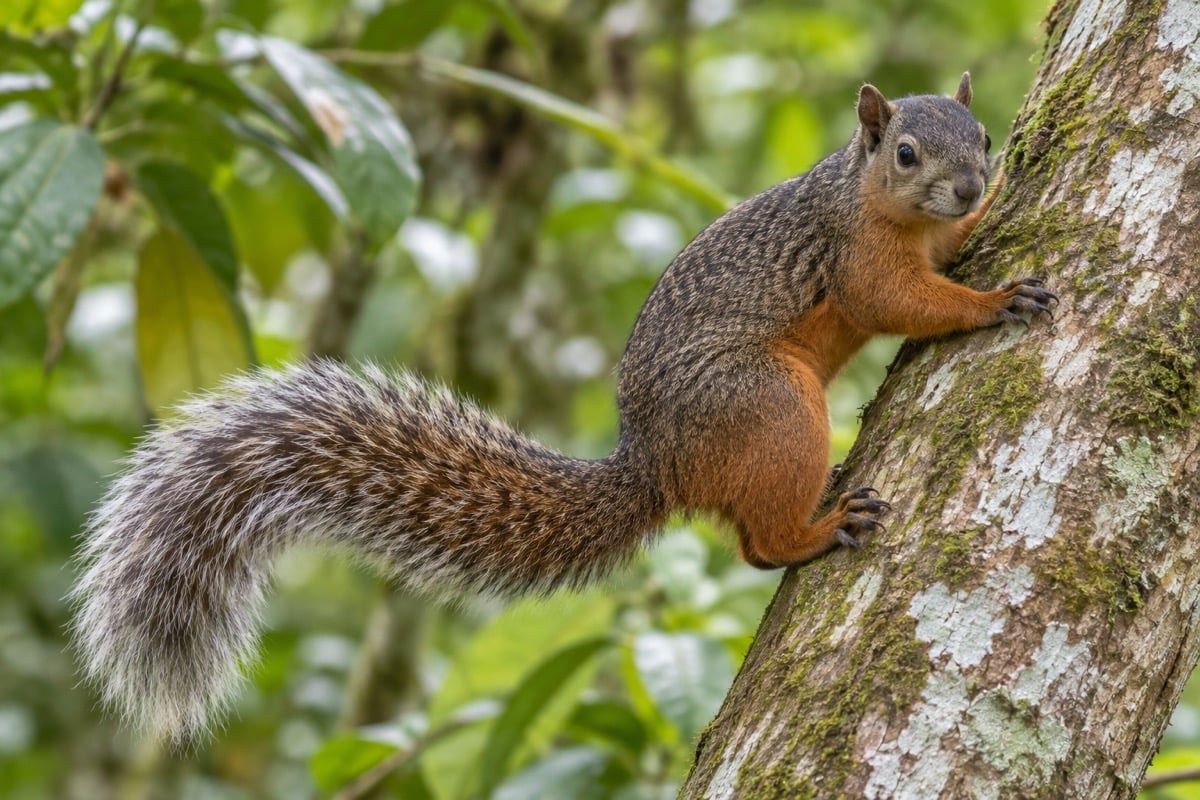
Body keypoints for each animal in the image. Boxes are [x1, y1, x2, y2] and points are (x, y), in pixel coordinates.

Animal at [71, 72, 1055, 741]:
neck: (871, 197)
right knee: (756, 543)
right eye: (906, 153)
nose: (971, 184)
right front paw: (992, 300)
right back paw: (817, 526)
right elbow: (902, 301)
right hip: (767, 402)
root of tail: (656, 465)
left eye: (980, 132)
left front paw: (997, 206)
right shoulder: (854, 255)